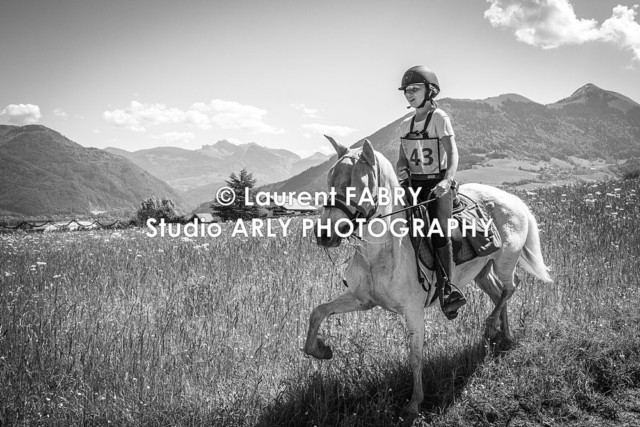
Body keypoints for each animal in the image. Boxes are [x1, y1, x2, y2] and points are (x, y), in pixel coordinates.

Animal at [302, 136, 552, 414]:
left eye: (359, 184)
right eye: (330, 179)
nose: (324, 234)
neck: (382, 251)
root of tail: (515, 200)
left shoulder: (413, 311)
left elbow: (415, 357)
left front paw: (414, 404)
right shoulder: (361, 300)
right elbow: (318, 312)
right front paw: (321, 350)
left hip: (504, 262)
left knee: (511, 287)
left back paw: (490, 328)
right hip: (483, 272)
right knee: (499, 293)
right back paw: (504, 335)